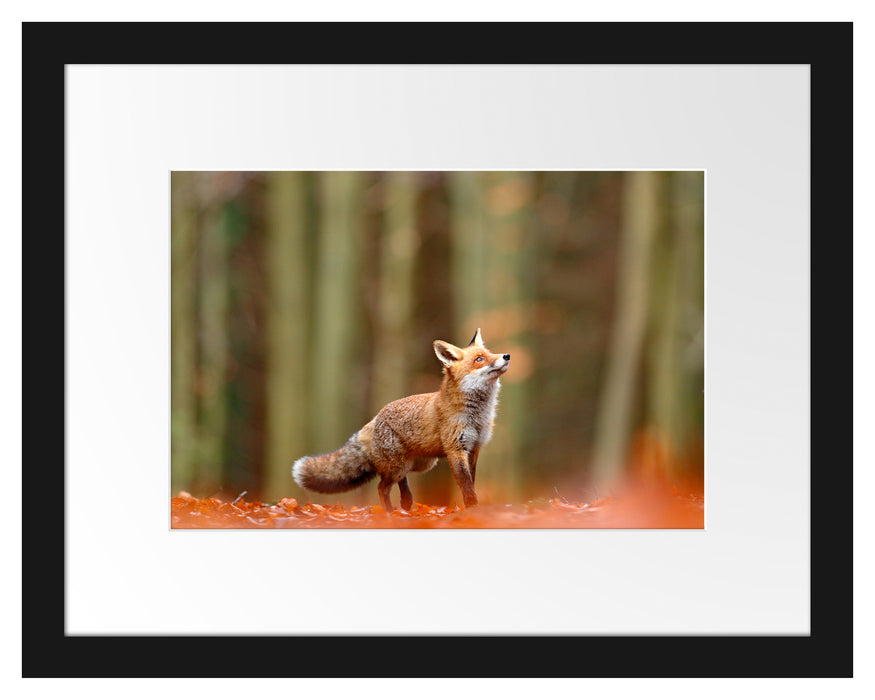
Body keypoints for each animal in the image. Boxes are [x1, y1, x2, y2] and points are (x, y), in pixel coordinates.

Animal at [292, 328, 510, 511]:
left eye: (490, 353)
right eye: (479, 359)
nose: (506, 356)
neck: (478, 416)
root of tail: (375, 418)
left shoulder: (474, 449)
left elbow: (471, 483)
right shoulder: (455, 449)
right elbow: (466, 486)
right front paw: (473, 509)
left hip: (417, 464)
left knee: (402, 487)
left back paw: (405, 507)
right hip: (399, 467)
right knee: (382, 487)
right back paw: (389, 514)